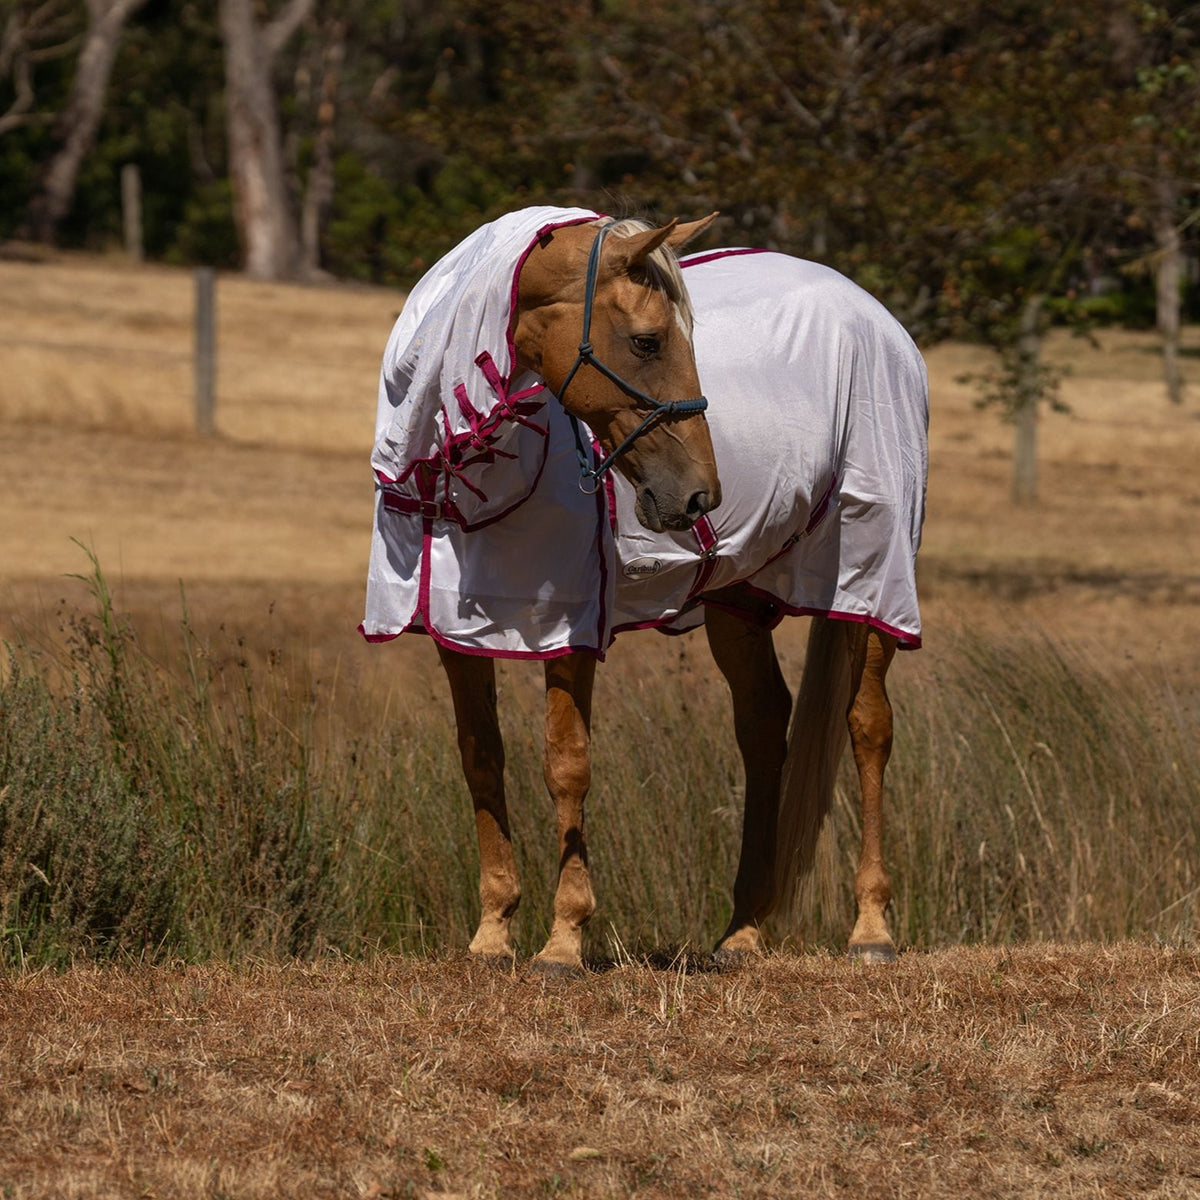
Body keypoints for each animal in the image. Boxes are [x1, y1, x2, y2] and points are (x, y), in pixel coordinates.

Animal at [362, 207, 928, 973]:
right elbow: (482, 758)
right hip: (737, 601)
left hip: (871, 582)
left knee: (868, 727)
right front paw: (493, 933)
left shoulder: (571, 626)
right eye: (648, 341)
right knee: (762, 729)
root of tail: (881, 323)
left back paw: (871, 928)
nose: (698, 496)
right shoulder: (456, 633)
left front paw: (564, 939)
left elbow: (565, 764)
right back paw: (742, 931)